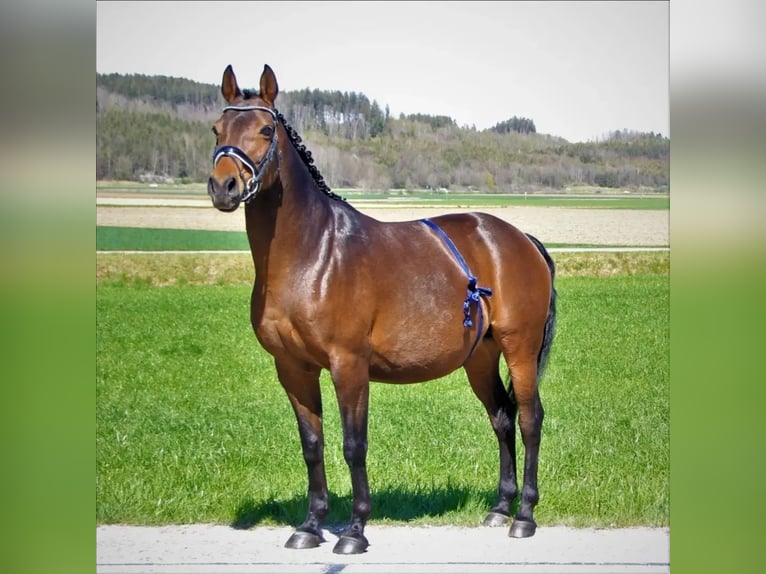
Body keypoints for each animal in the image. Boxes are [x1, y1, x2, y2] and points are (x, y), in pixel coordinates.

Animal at [207, 65, 560, 556]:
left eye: (264, 129)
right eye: (216, 129)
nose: (224, 186)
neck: (313, 254)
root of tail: (520, 238)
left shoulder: (349, 365)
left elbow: (354, 445)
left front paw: (354, 530)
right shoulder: (293, 368)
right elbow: (312, 444)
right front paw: (310, 525)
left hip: (520, 348)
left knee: (529, 419)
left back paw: (524, 515)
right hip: (481, 357)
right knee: (502, 418)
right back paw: (499, 508)